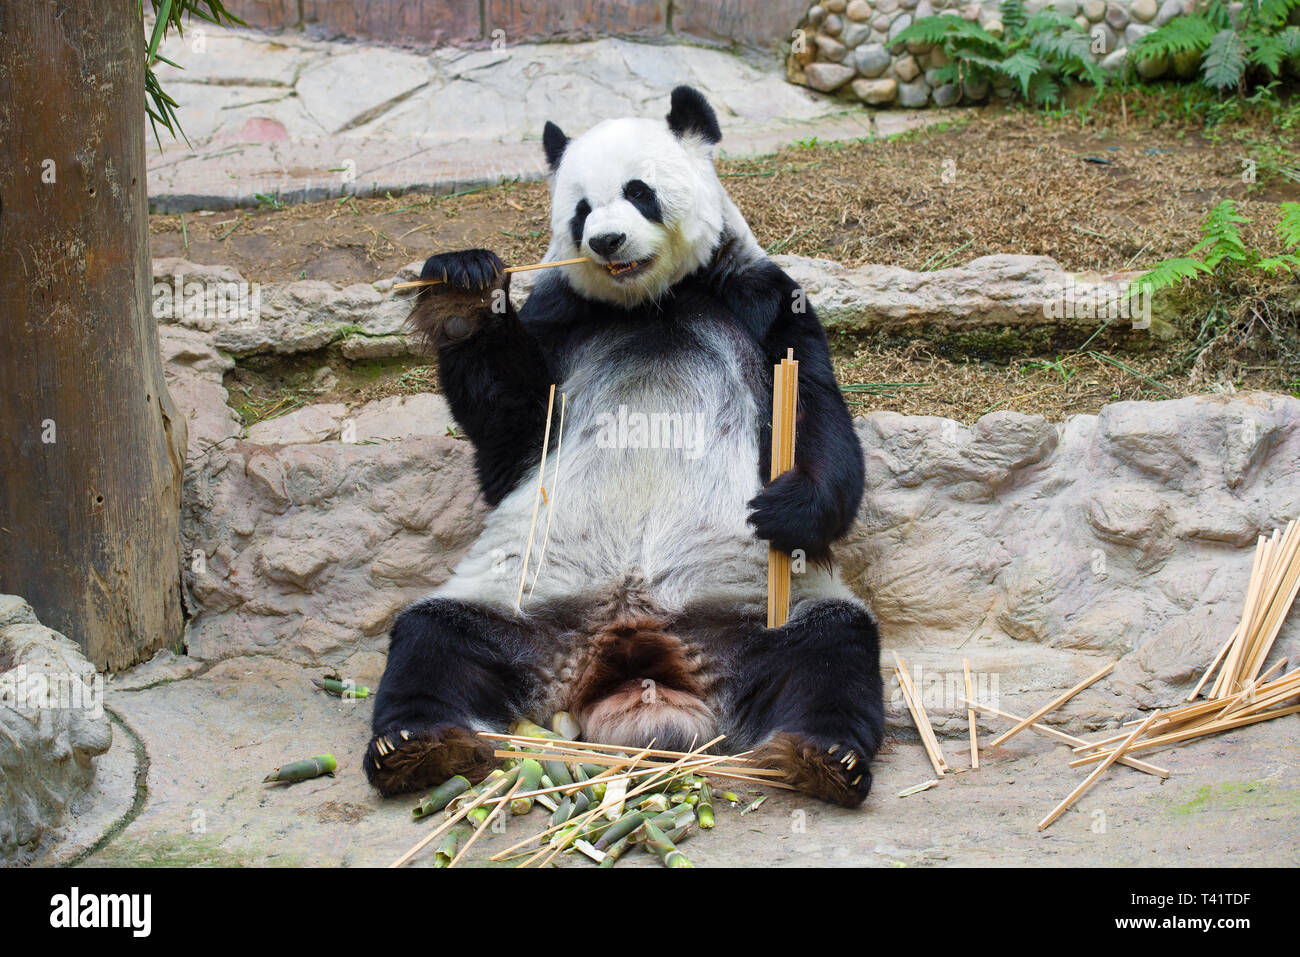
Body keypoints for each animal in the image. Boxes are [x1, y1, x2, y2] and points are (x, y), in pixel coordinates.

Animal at [365, 86, 884, 807]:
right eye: (581, 209)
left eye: (639, 192)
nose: (605, 239)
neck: (649, 303)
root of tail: (631, 646)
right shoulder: (562, 317)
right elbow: (513, 438)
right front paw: (461, 289)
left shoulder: (760, 299)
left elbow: (813, 407)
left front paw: (789, 508)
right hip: (519, 606)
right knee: (434, 640)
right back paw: (420, 746)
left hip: (757, 608)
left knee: (831, 649)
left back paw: (823, 755)